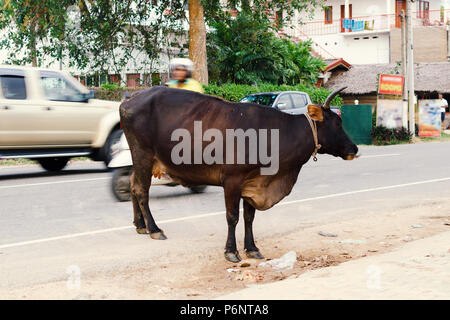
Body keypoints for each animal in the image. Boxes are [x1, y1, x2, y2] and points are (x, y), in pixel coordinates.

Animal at [120, 85, 358, 262]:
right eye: (337, 123)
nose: (354, 149)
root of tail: (131, 98)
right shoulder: (232, 181)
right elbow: (232, 217)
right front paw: (231, 251)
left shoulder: (253, 183)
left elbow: (249, 217)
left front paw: (252, 248)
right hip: (143, 155)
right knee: (141, 190)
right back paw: (153, 228)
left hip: (141, 161)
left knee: (132, 184)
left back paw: (140, 225)